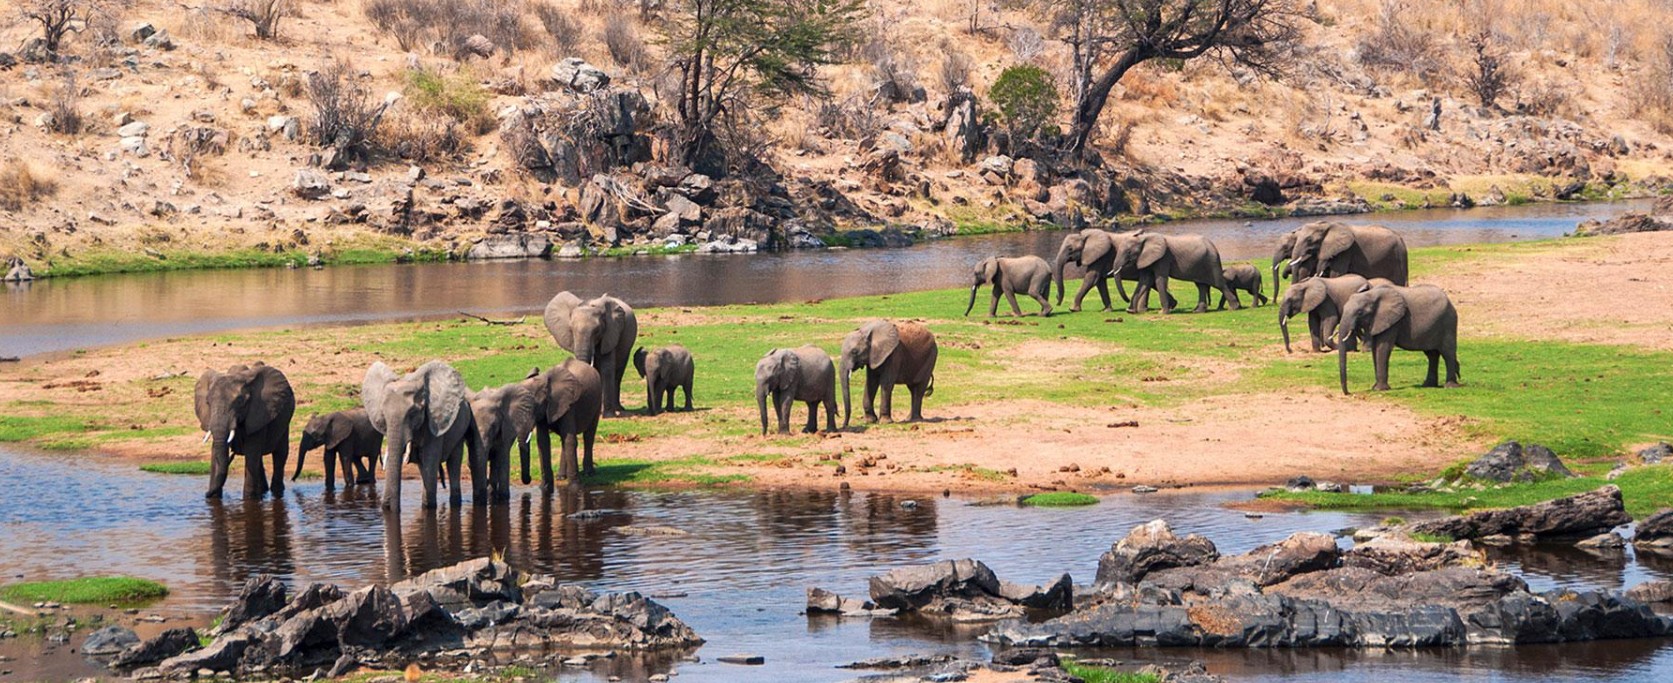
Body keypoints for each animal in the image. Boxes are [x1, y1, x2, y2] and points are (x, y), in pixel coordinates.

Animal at [195, 363, 295, 499]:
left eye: (240, 401)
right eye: (207, 402)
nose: (206, 494)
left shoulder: (259, 413)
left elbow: (251, 453)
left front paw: (249, 499)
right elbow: (215, 451)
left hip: (285, 419)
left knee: (280, 454)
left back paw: (276, 491)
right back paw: (263, 491)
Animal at [363, 360, 482, 511]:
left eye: (413, 412)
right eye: (383, 414)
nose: (387, 506)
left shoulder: (434, 421)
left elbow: (430, 461)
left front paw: (429, 507)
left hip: (461, 426)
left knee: (453, 462)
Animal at [523, 358, 603, 488]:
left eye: (533, 405)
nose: (528, 480)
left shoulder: (568, 404)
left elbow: (570, 440)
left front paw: (575, 487)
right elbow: (543, 441)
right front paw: (544, 487)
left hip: (597, 400)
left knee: (588, 435)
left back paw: (589, 473)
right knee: (563, 440)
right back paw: (561, 477)